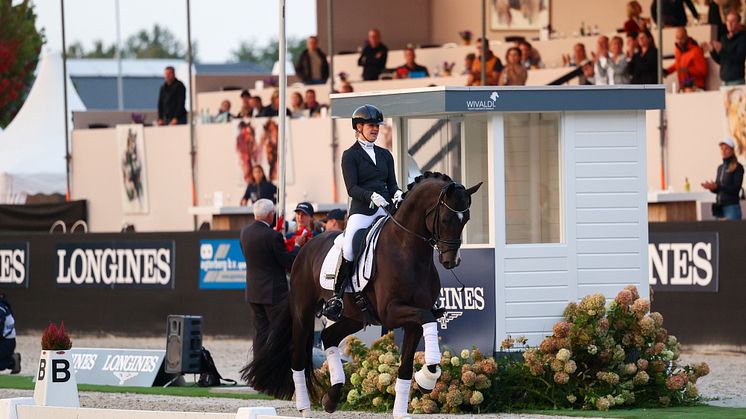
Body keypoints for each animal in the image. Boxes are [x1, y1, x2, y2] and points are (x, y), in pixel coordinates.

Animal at [241, 172, 480, 418]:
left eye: (466, 219)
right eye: (446, 220)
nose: (451, 261)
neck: (408, 251)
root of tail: (306, 246)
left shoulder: (413, 320)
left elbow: (406, 365)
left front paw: (421, 386)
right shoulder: (391, 312)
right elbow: (427, 317)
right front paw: (429, 375)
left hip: (353, 316)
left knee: (329, 337)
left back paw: (332, 397)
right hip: (303, 313)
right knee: (297, 357)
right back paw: (305, 408)